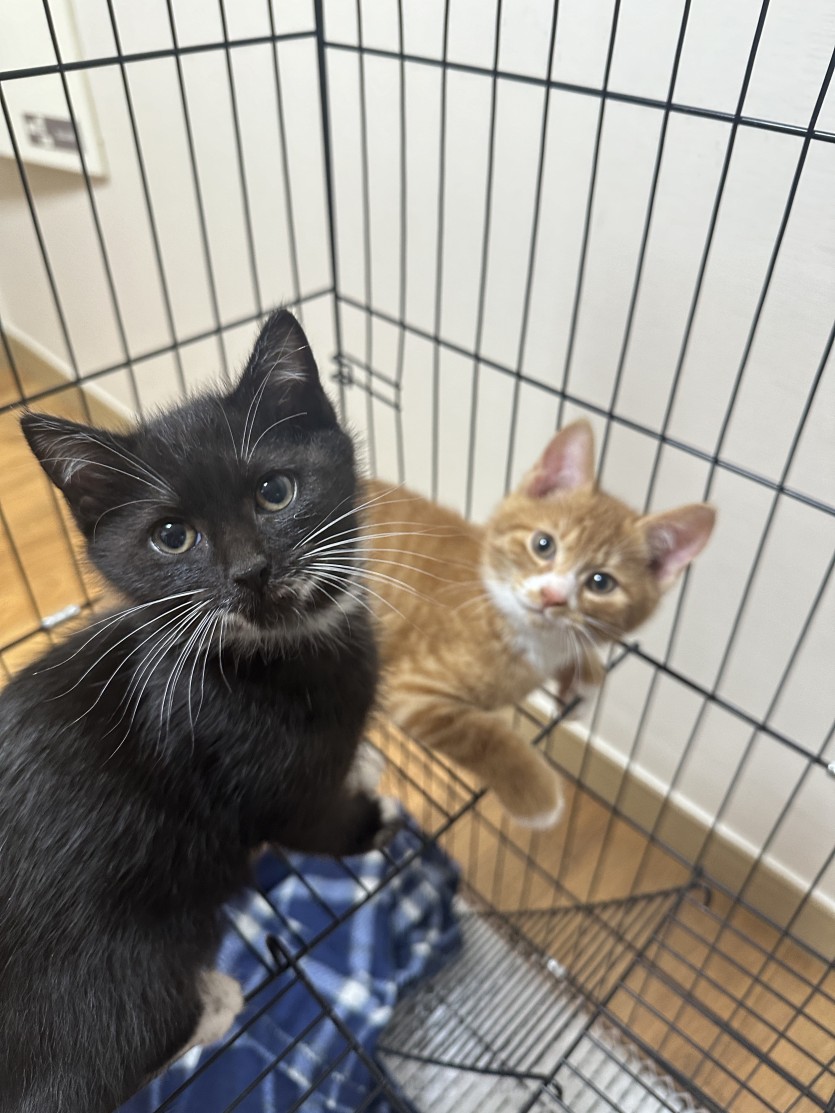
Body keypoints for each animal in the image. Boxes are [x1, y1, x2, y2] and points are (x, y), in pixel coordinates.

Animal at [0, 310, 393, 1113]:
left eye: (275, 491)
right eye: (172, 536)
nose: (251, 572)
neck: (274, 656)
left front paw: (364, 761)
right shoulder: (261, 776)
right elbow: (309, 820)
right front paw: (368, 823)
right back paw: (214, 1000)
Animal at [361, 420, 715, 829]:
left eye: (601, 582)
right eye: (543, 544)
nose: (551, 596)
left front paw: (584, 684)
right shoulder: (412, 690)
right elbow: (481, 735)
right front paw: (538, 797)